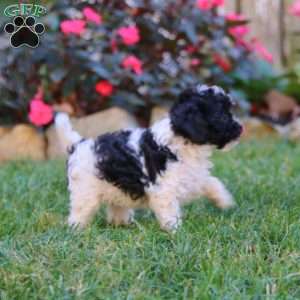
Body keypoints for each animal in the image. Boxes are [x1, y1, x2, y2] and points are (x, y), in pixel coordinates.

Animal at [56, 84, 243, 232]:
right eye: (221, 116)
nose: (241, 128)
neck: (182, 140)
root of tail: (79, 144)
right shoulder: (164, 190)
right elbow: (169, 211)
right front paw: (175, 231)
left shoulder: (193, 176)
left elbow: (212, 182)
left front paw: (225, 201)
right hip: (85, 191)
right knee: (80, 211)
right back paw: (76, 229)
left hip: (115, 189)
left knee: (116, 207)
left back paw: (122, 223)